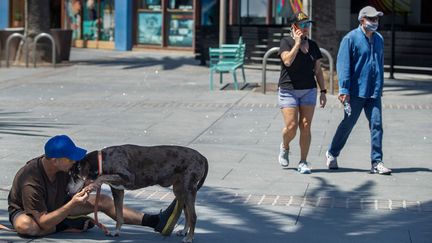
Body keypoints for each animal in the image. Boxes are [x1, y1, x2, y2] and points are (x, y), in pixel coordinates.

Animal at [68, 144, 209, 243]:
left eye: (74, 175)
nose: (67, 191)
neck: (103, 160)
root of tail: (202, 157)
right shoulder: (117, 191)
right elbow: (119, 215)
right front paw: (116, 232)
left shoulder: (128, 178)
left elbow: (102, 177)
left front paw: (92, 185)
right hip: (179, 190)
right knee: (187, 212)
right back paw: (185, 231)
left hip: (189, 188)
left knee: (193, 215)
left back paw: (189, 238)